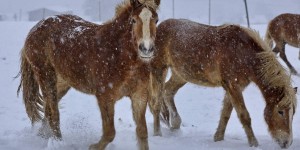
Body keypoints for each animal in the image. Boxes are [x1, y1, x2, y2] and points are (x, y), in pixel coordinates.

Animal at [15, 0, 162, 149]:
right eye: (133, 20)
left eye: (156, 20)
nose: (146, 49)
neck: (118, 54)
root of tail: (35, 28)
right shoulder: (105, 97)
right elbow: (109, 133)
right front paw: (93, 146)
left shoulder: (139, 96)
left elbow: (142, 132)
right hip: (46, 76)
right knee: (54, 113)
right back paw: (58, 142)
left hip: (62, 83)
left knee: (48, 110)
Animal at [151, 19, 296, 149]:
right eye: (280, 111)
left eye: (293, 113)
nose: (287, 143)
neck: (243, 53)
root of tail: (159, 27)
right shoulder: (233, 86)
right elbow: (244, 116)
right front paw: (254, 143)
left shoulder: (234, 88)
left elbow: (226, 114)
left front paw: (218, 138)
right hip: (159, 69)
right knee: (157, 103)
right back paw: (157, 132)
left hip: (181, 75)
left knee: (168, 91)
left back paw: (175, 123)